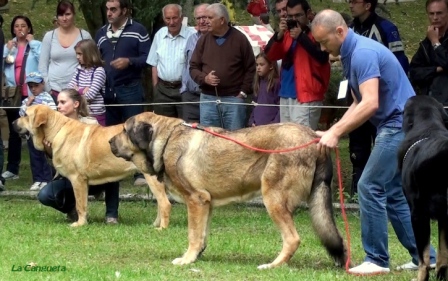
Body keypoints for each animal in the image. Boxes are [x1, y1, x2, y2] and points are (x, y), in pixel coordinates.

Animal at [12, 105, 170, 228]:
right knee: (160, 203)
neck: (56, 130)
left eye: (25, 115)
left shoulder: (77, 179)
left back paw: (161, 228)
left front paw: (80, 224)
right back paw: (154, 224)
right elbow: (83, 204)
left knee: (165, 204)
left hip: (152, 178)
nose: (13, 122)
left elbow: (80, 204)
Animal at [108, 112, 346, 270]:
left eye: (124, 130)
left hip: (273, 198)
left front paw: (186, 260)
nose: (110, 141)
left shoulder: (195, 200)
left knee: (293, 239)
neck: (165, 140)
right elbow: (202, 235)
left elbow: (193, 235)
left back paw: (272, 265)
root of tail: (314, 138)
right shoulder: (206, 203)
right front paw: (196, 256)